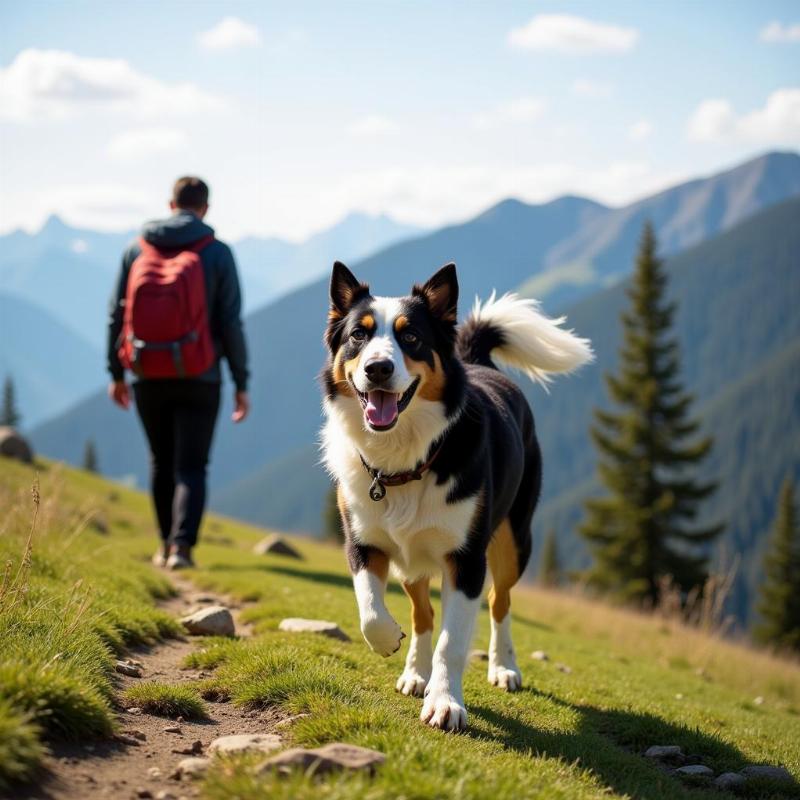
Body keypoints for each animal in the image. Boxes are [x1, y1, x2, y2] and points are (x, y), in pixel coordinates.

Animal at [320, 260, 592, 732]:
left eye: (411, 337)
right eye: (358, 335)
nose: (377, 368)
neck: (405, 461)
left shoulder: (466, 561)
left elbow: (453, 641)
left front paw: (445, 702)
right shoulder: (363, 541)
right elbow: (371, 610)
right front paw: (391, 643)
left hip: (514, 538)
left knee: (500, 602)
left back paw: (504, 667)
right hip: (411, 560)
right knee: (422, 612)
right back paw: (415, 672)